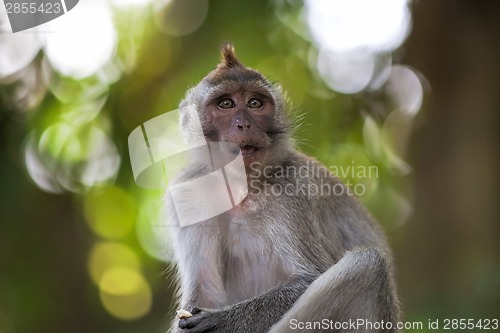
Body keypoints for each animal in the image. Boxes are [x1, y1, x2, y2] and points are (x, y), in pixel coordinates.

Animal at [166, 42, 400, 330]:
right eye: (226, 103)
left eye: (255, 103)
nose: (244, 124)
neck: (243, 191)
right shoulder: (188, 196)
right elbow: (204, 291)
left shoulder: (294, 189)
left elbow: (307, 279)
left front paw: (218, 321)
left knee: (367, 264)